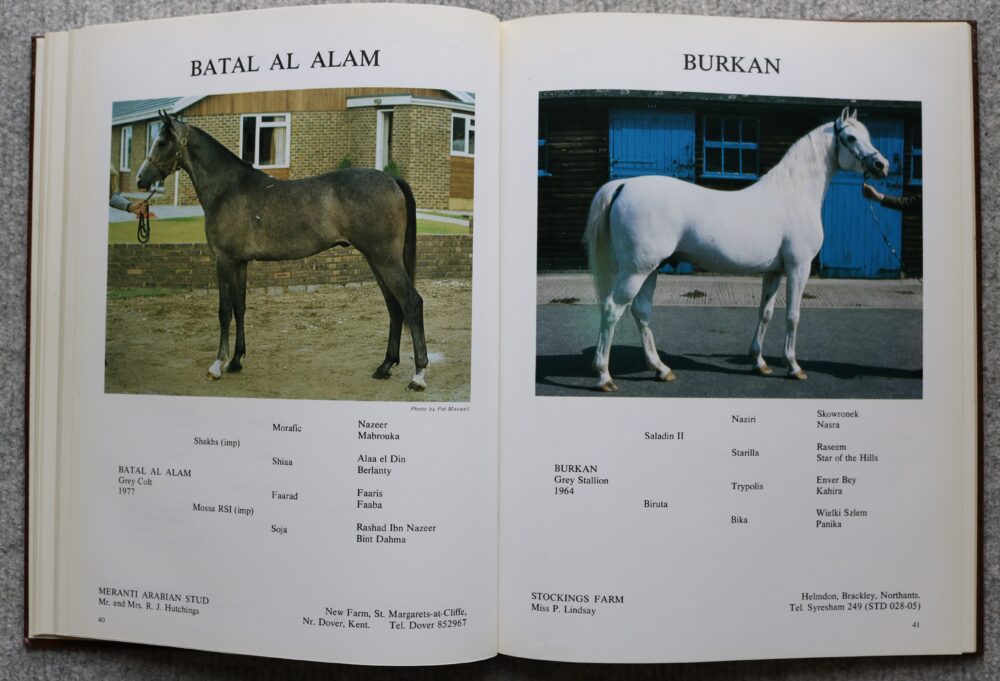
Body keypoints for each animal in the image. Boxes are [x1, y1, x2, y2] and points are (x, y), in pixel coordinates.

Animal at [136, 111, 428, 391]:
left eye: (161, 142)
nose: (141, 179)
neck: (228, 189)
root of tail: (392, 179)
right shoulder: (240, 262)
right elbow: (240, 307)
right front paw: (236, 361)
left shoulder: (224, 261)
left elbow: (224, 310)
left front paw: (217, 365)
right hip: (376, 260)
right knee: (394, 306)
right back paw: (385, 366)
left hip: (385, 259)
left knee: (411, 302)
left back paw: (418, 376)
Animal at [583, 108, 888, 392]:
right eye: (851, 137)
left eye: (868, 135)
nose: (881, 165)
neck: (792, 196)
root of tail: (624, 185)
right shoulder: (798, 268)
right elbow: (793, 316)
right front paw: (793, 366)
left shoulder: (774, 273)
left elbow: (765, 313)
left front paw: (760, 362)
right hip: (636, 271)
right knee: (612, 309)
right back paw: (604, 376)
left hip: (651, 269)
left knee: (642, 312)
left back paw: (661, 369)